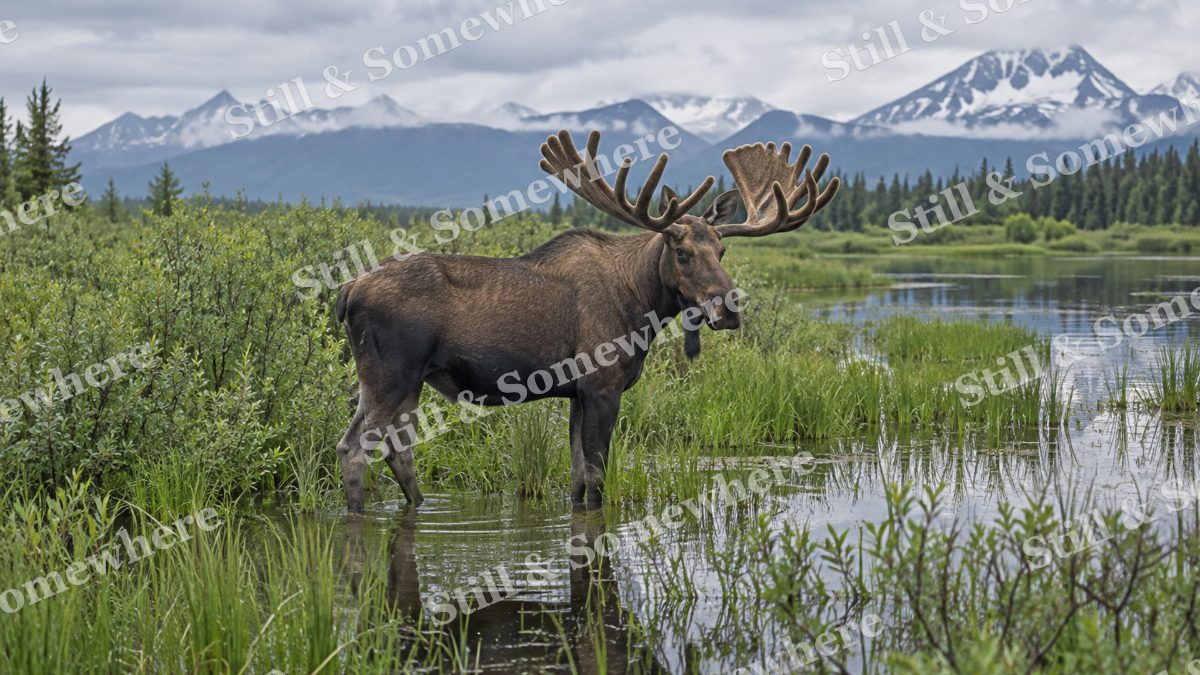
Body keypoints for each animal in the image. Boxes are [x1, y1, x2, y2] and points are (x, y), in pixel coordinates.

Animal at [334, 129, 839, 511]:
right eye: (681, 252)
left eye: (722, 249)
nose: (728, 308)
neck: (641, 305)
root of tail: (348, 291)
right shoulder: (601, 385)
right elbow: (596, 478)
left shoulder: (576, 393)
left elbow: (577, 478)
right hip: (389, 375)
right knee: (354, 450)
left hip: (405, 381)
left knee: (397, 452)